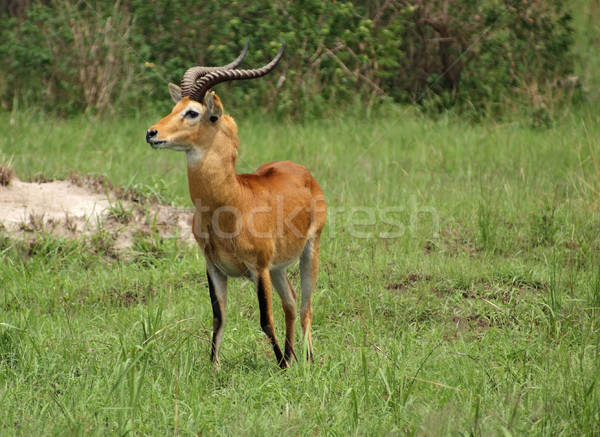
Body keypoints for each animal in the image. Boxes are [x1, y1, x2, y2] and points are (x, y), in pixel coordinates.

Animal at [146, 42, 328, 368]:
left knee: (305, 306)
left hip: (310, 250)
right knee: (291, 302)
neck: (230, 204)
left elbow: (265, 319)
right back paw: (292, 357)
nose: (152, 133)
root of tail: (300, 170)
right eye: (174, 108)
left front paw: (279, 367)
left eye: (192, 112)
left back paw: (305, 360)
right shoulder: (214, 267)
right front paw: (214, 368)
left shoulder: (258, 269)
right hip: (279, 268)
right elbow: (218, 318)